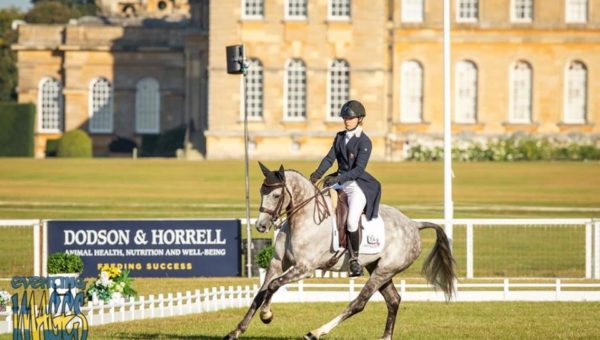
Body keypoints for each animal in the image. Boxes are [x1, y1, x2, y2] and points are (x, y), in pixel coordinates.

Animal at [224, 163, 454, 338]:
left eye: (277, 194)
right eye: (261, 192)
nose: (261, 226)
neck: (302, 218)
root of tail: (413, 224)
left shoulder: (304, 268)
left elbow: (273, 286)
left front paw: (267, 316)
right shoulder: (277, 263)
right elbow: (261, 293)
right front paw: (236, 331)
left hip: (384, 270)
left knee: (359, 303)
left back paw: (316, 332)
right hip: (377, 268)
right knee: (393, 300)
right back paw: (385, 337)